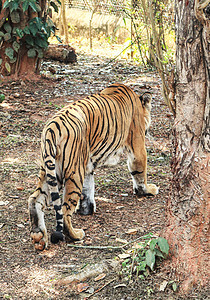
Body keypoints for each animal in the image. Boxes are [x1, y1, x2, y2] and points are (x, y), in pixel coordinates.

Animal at [28, 82, 158, 251]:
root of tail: (52, 128)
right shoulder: (137, 146)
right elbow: (140, 172)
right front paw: (147, 190)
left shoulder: (87, 165)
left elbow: (88, 187)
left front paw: (86, 208)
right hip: (73, 172)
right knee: (64, 209)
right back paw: (76, 235)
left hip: (51, 171)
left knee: (34, 199)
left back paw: (38, 237)